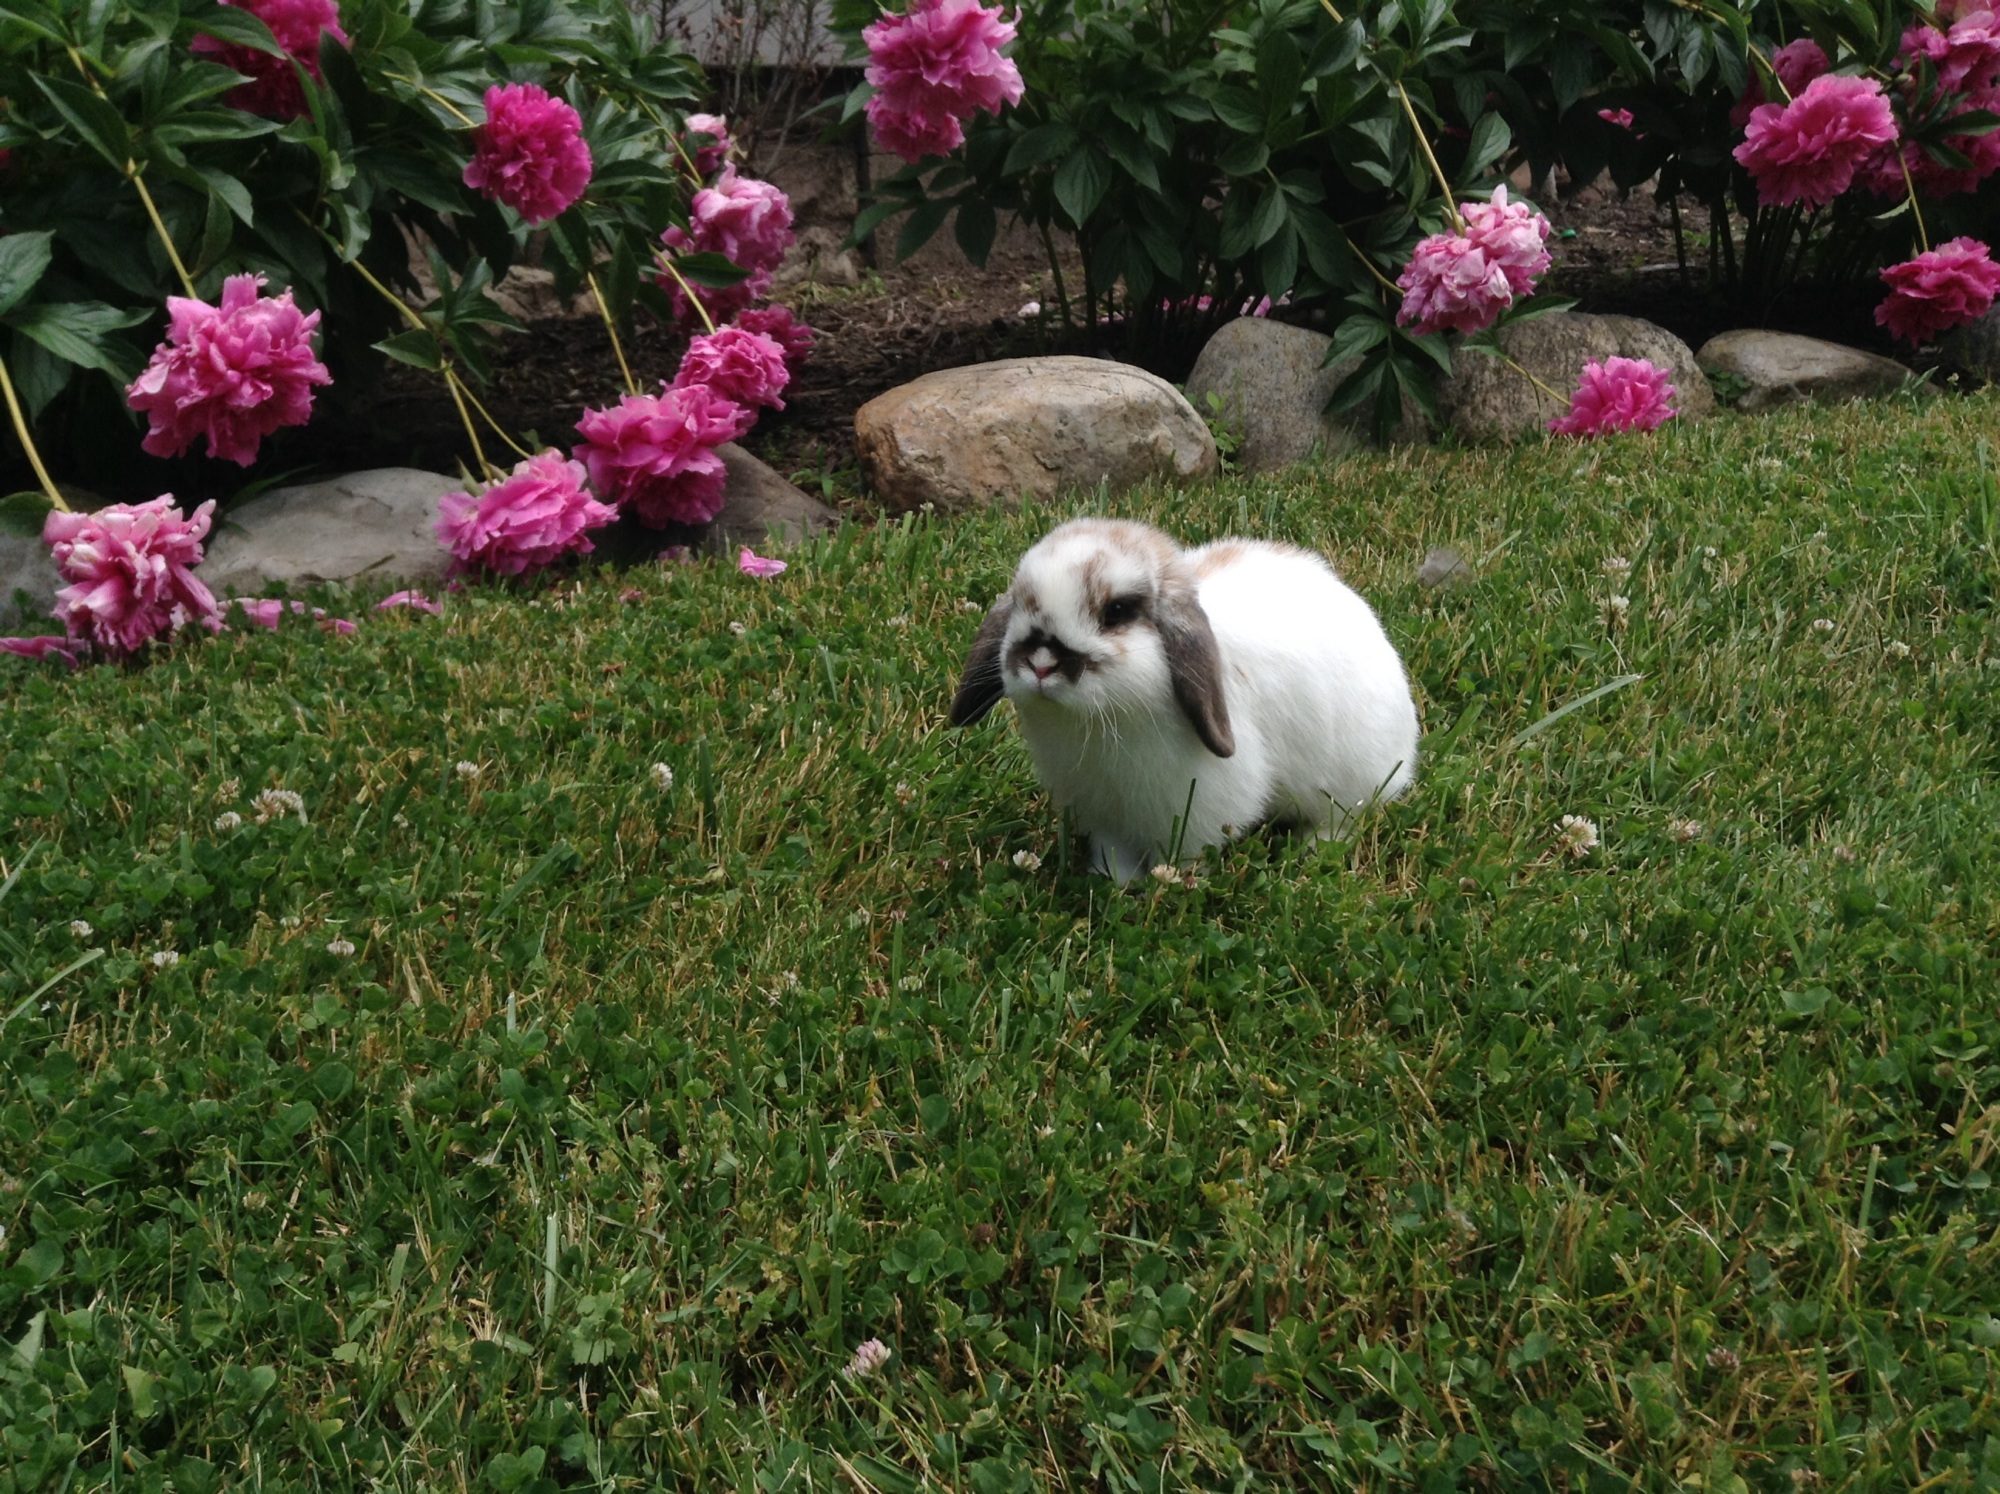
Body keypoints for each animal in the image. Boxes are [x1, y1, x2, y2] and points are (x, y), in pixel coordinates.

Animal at [949, 517, 1419, 882]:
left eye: (1116, 611)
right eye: (1020, 603)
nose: (1042, 665)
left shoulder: (1196, 809)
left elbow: (1186, 851)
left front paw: (1171, 880)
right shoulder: (1103, 813)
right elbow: (1113, 851)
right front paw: (1114, 881)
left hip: (1348, 786)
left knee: (1343, 819)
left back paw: (1310, 848)